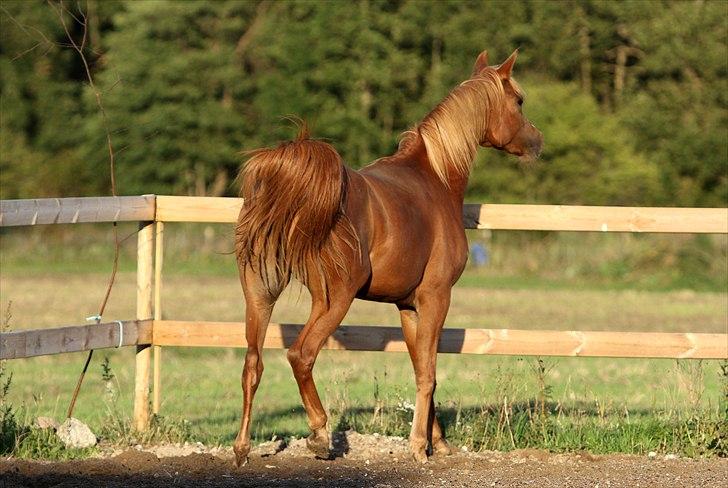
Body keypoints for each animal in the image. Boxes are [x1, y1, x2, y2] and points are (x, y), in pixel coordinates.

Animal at [233, 49, 540, 466]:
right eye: (519, 100)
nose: (537, 141)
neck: (436, 177)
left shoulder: (407, 306)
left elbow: (423, 367)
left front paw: (437, 441)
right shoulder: (436, 297)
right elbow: (428, 371)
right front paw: (420, 447)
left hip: (259, 293)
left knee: (253, 364)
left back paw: (242, 448)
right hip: (332, 299)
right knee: (301, 354)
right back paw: (319, 435)